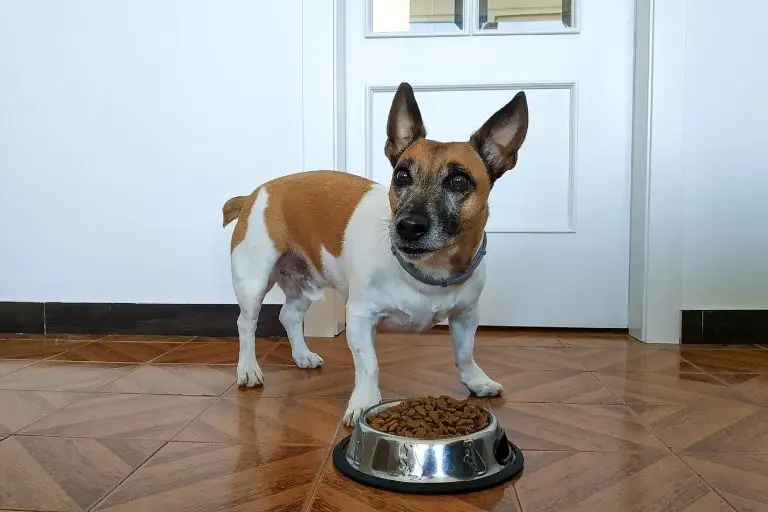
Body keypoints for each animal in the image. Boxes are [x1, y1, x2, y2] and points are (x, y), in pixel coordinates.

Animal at [222, 82, 528, 424]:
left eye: (460, 181)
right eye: (401, 176)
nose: (408, 226)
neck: (426, 270)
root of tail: (254, 194)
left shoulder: (465, 316)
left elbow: (464, 354)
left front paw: (476, 381)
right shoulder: (359, 316)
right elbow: (368, 363)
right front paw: (364, 402)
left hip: (303, 283)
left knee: (289, 315)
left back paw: (302, 356)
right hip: (253, 282)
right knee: (246, 325)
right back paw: (248, 369)